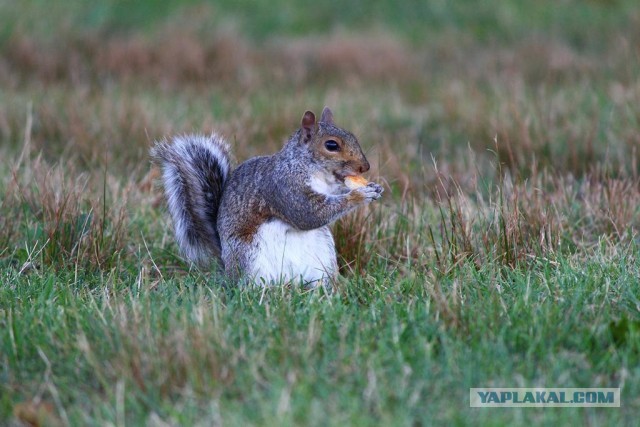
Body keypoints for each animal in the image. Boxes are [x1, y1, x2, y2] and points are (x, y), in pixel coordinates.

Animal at [150, 108, 382, 288]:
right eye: (331, 145)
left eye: (352, 136)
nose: (365, 167)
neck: (312, 170)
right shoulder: (282, 187)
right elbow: (308, 214)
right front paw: (359, 194)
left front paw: (374, 188)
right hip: (249, 257)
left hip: (322, 255)